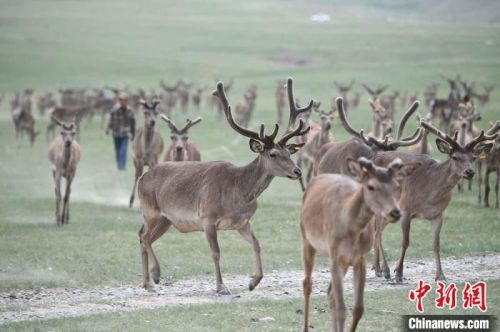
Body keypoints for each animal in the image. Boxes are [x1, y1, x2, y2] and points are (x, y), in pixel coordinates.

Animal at [135, 77, 310, 294]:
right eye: (273, 154)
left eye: (289, 152)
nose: (297, 171)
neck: (238, 193)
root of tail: (142, 178)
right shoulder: (207, 217)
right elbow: (216, 252)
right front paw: (221, 286)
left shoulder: (243, 221)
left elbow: (257, 244)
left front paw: (254, 282)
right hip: (150, 210)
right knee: (143, 236)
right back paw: (153, 278)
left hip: (166, 219)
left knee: (145, 237)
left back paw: (149, 279)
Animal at [372, 120, 496, 282]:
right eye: (455, 157)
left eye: (473, 157)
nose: (470, 172)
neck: (430, 194)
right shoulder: (406, 209)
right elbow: (405, 242)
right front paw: (398, 274)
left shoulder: (439, 214)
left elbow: (436, 245)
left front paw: (440, 275)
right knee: (377, 233)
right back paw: (385, 270)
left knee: (376, 231)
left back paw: (378, 269)